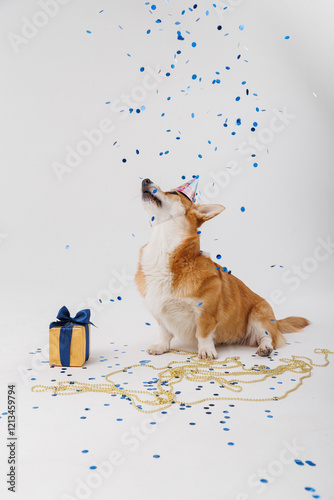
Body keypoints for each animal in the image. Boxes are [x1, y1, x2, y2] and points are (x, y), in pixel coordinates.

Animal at [134, 178, 310, 358]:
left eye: (173, 193)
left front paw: (206, 350)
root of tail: (276, 322)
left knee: (268, 337)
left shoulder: (206, 313)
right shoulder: (160, 314)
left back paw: (265, 348)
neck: (162, 249)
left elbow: (203, 333)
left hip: (259, 314)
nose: (146, 180)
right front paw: (161, 346)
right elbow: (164, 333)